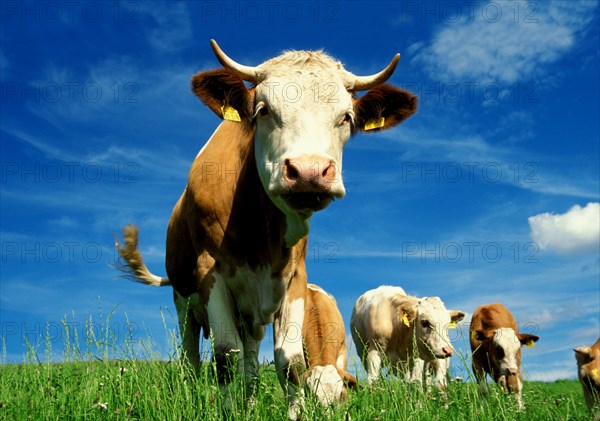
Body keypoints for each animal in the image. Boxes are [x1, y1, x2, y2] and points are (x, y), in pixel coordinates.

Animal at [116, 39, 418, 416]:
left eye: (346, 118)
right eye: (263, 110)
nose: (309, 172)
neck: (257, 231)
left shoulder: (293, 278)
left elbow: (289, 364)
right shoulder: (210, 273)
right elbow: (224, 357)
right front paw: (228, 413)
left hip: (251, 317)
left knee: (249, 362)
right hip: (183, 300)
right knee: (192, 358)